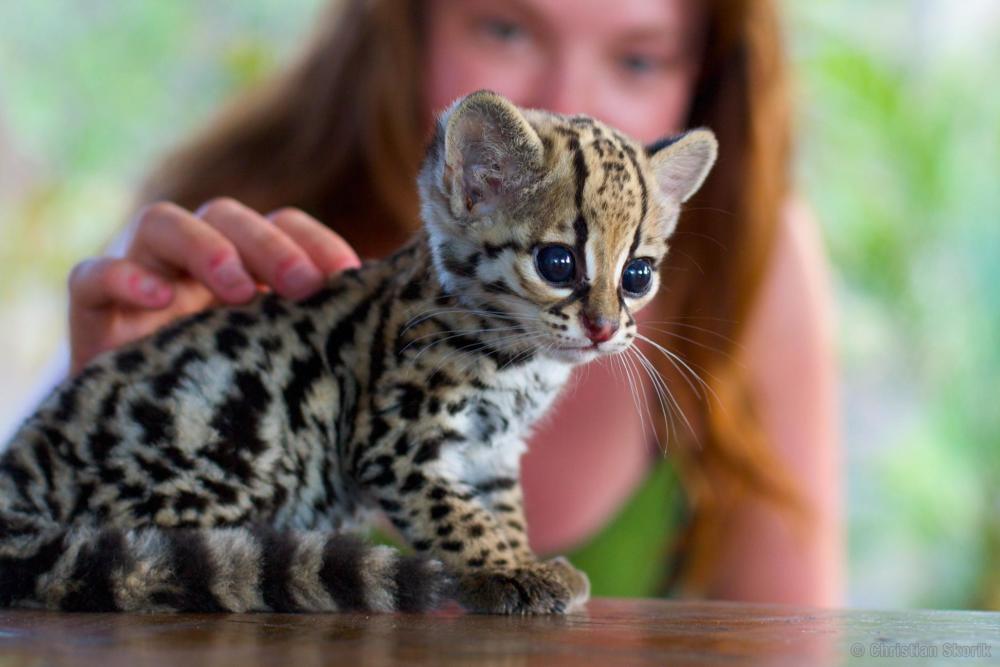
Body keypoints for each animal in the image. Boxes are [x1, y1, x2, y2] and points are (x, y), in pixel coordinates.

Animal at [0, 90, 720, 616]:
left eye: (638, 275)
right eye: (558, 262)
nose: (604, 328)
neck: (522, 363)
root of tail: (20, 471)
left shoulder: (492, 452)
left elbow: (501, 506)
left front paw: (521, 556)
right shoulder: (395, 441)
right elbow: (456, 514)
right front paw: (502, 569)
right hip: (234, 446)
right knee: (145, 551)